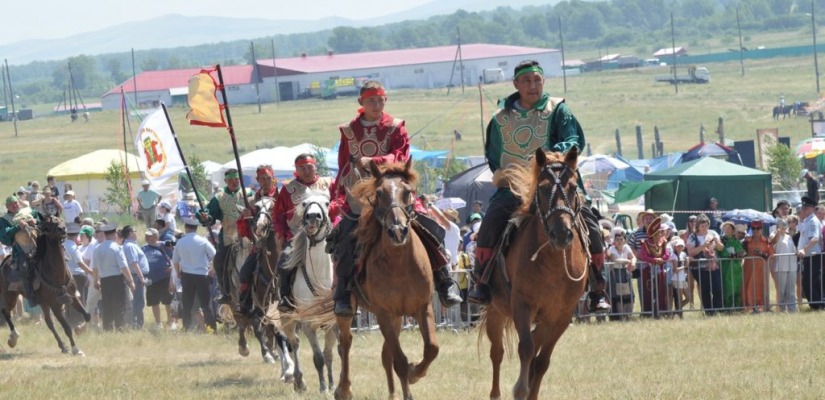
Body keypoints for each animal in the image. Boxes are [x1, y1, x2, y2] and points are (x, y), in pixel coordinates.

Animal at [0, 216, 90, 356]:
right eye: (48, 223)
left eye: (59, 219)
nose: (62, 229)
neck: (57, 273)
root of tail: (5, 261)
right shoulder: (55, 305)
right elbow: (67, 327)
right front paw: (76, 349)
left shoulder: (72, 297)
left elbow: (87, 315)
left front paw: (80, 329)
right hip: (10, 296)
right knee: (5, 311)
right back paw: (13, 338)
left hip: (43, 303)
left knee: (49, 323)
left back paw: (63, 346)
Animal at [282, 191, 336, 394]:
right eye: (305, 203)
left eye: (327, 203)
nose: (313, 216)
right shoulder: (308, 325)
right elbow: (318, 357)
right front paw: (323, 388)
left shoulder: (332, 323)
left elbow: (329, 354)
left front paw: (332, 384)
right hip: (287, 318)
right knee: (294, 343)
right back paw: (298, 380)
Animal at [480, 148, 588, 400]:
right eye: (543, 188)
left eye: (572, 187)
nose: (562, 234)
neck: (552, 263)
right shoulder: (522, 305)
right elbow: (526, 349)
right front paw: (520, 389)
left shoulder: (561, 315)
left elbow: (542, 361)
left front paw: (531, 390)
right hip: (495, 310)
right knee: (497, 352)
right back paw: (495, 393)